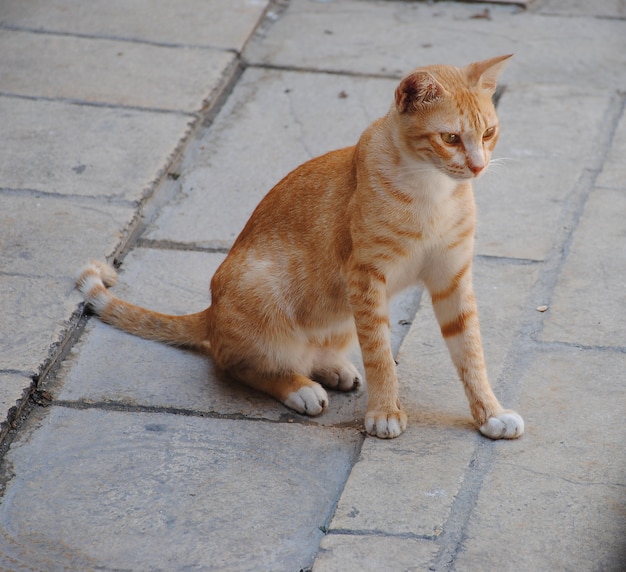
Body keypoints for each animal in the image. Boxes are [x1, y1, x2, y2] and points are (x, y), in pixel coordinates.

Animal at [80, 55, 524, 440]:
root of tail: (211, 312)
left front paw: (490, 413)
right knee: (235, 363)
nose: (479, 166)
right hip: (261, 291)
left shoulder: (452, 277)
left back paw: (331, 368)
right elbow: (380, 353)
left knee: (310, 351)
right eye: (450, 138)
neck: (433, 191)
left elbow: (470, 352)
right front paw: (384, 410)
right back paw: (298, 387)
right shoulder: (365, 278)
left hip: (340, 317)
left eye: (488, 133)